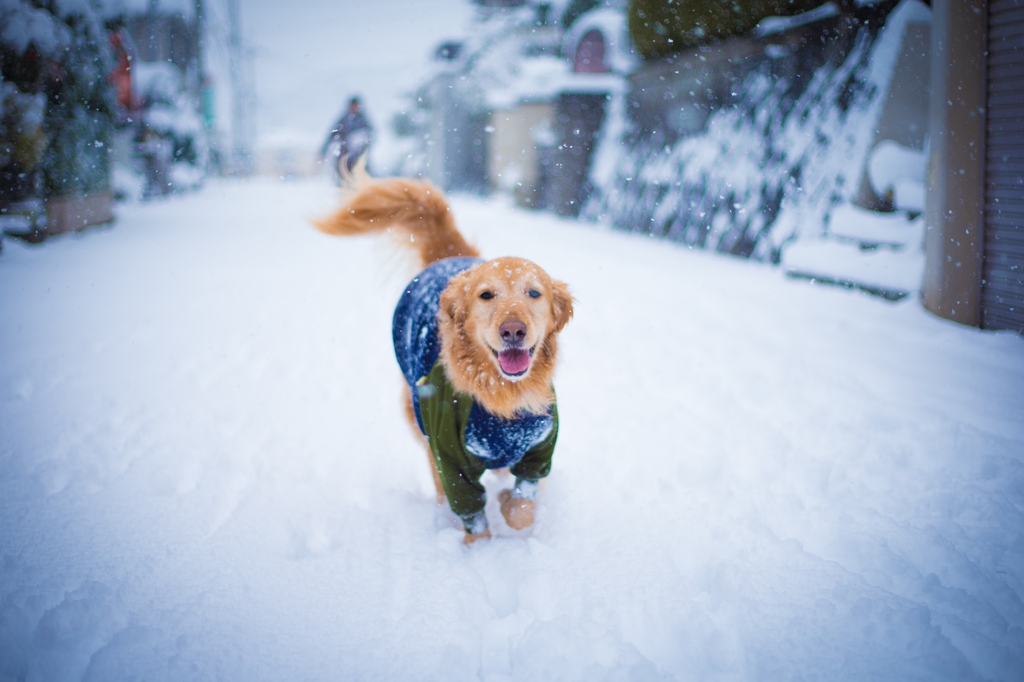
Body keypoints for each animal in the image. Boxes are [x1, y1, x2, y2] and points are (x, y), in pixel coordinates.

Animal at [315, 168, 573, 540]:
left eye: (534, 293)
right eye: (486, 295)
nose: (513, 330)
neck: (502, 397)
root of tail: (450, 257)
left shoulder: (539, 450)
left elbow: (523, 508)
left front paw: (509, 502)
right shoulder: (451, 458)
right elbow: (472, 512)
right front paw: (478, 543)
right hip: (418, 413)